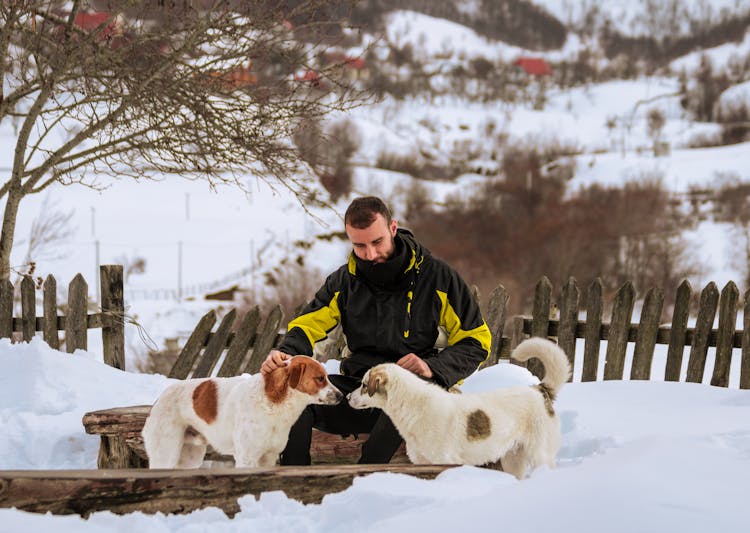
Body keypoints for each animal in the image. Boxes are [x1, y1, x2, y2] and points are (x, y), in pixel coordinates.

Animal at [142, 356, 342, 468]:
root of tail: (159, 399)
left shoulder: (269, 457)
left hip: (190, 457)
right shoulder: (247, 457)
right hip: (166, 454)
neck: (273, 404)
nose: (341, 396)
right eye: (320, 378)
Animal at [350, 336, 572, 478]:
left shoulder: (444, 462)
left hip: (539, 454)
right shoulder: (422, 464)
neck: (414, 405)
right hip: (512, 459)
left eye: (363, 385)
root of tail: (540, 390)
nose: (348, 397)